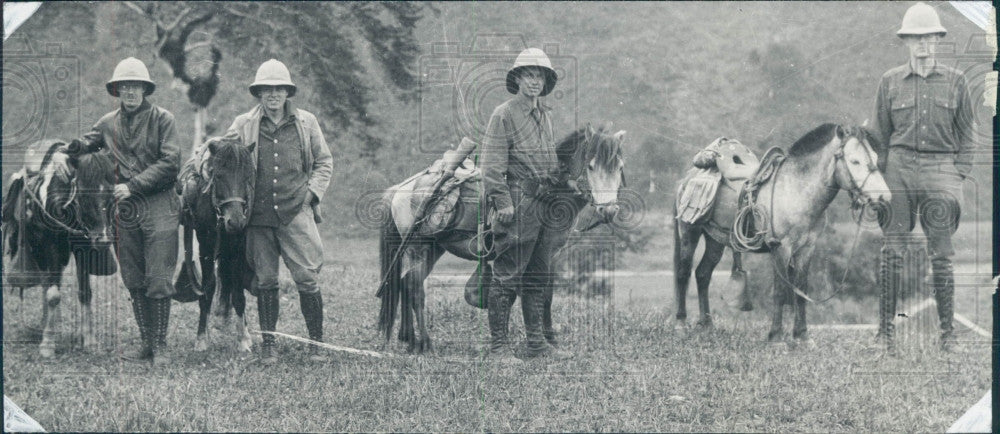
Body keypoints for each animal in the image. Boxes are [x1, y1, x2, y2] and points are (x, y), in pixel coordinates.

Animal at [2, 141, 116, 358]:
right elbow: (53, 295)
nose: (104, 239)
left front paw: (89, 340)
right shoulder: (51, 247)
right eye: (83, 193)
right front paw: (47, 344)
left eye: (112, 193)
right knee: (47, 285)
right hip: (40, 251)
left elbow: (85, 292)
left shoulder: (83, 248)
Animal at [180, 136, 258, 352]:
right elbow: (208, 288)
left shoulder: (238, 248)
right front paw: (201, 338)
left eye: (248, 176)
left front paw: (243, 339)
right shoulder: (205, 246)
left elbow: (238, 293)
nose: (236, 221)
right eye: (220, 176)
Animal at [378, 124, 628, 354]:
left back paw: (410, 340)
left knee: (406, 283)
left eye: (619, 168)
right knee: (414, 287)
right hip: (418, 247)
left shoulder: (549, 253)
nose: (609, 210)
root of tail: (399, 189)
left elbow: (546, 294)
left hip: (432, 249)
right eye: (591, 166)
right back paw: (425, 343)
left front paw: (549, 340)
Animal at [672, 124, 892, 344]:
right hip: (690, 232)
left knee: (703, 274)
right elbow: (780, 292)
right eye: (854, 161)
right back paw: (681, 324)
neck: (795, 191)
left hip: (715, 240)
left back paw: (706, 325)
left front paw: (802, 337)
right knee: (684, 273)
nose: (883, 196)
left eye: (874, 157)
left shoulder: (806, 249)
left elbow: (801, 291)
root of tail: (687, 178)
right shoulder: (781, 248)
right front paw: (776, 337)